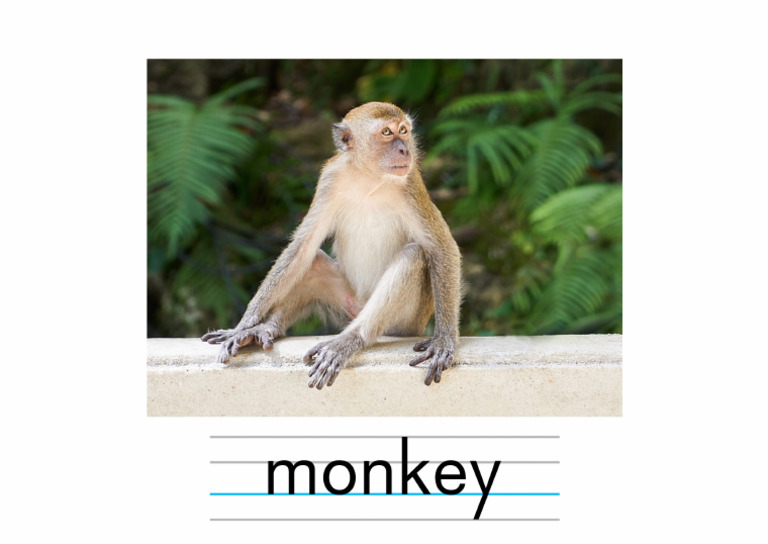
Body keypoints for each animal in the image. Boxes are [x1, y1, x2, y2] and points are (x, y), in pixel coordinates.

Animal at [202, 102, 462, 388]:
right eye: (386, 132)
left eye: (403, 131)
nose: (405, 149)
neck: (369, 178)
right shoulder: (330, 179)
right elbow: (303, 246)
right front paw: (243, 325)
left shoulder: (411, 184)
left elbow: (441, 248)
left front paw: (444, 341)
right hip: (347, 304)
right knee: (312, 263)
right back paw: (264, 329)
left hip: (406, 321)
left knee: (413, 256)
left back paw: (349, 340)